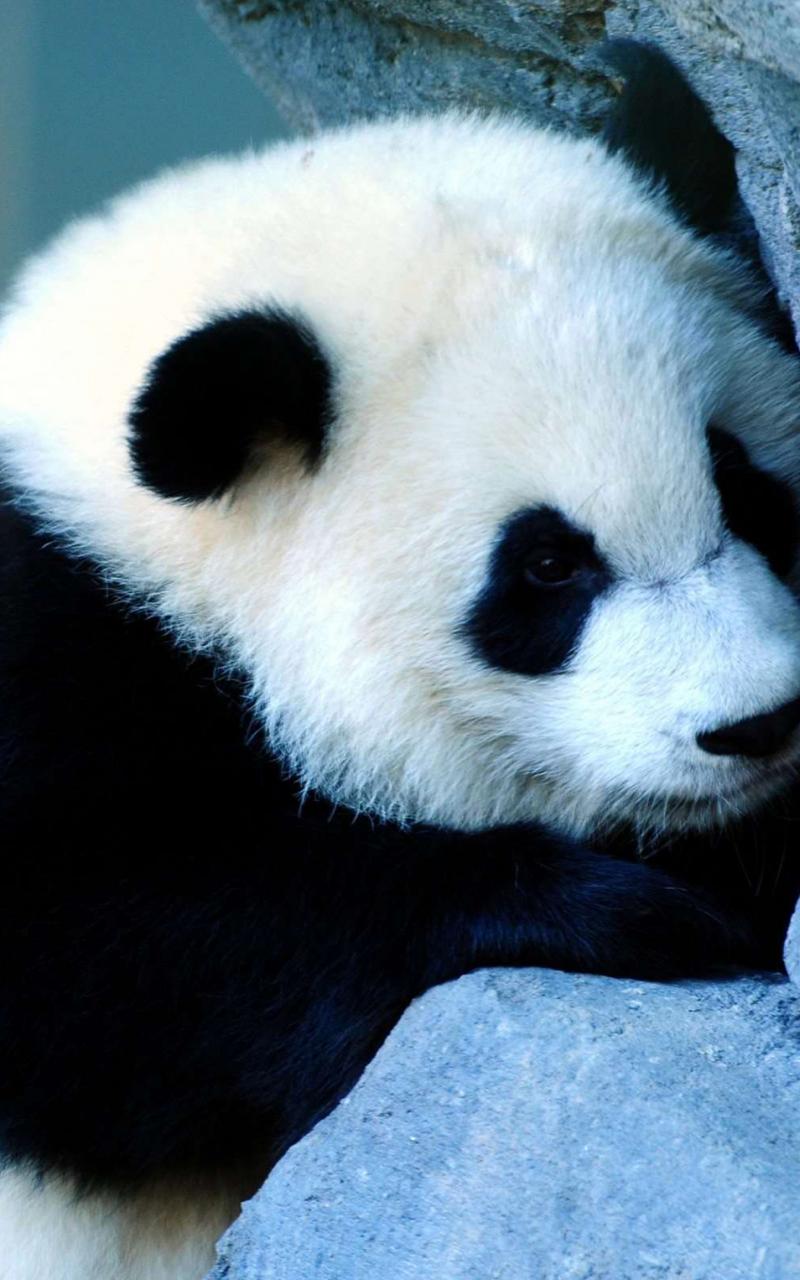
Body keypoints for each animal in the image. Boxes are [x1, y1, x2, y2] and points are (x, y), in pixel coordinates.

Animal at [0, 37, 799, 1280]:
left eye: (743, 482)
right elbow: (96, 963)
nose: (754, 722)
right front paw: (634, 909)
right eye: (546, 568)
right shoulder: (54, 645)